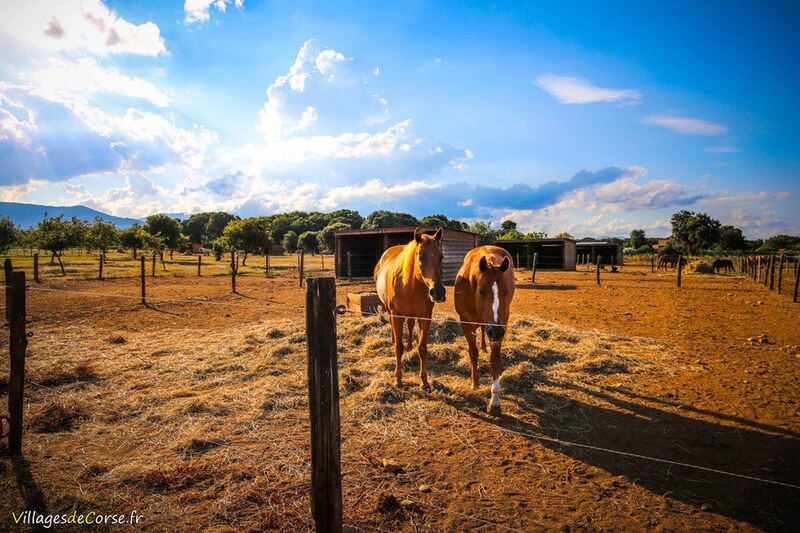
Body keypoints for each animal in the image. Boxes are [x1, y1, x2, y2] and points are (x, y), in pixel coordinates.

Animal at [374, 225, 444, 386]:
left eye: (441, 257)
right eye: (421, 257)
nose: (438, 292)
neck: (409, 285)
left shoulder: (425, 317)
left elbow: (422, 348)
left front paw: (424, 381)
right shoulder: (397, 316)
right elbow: (398, 348)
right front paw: (398, 379)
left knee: (411, 325)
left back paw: (409, 346)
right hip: (390, 311)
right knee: (393, 326)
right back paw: (394, 339)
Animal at [454, 245, 516, 416]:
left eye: (506, 291)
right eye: (481, 291)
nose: (495, 332)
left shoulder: (500, 325)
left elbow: (495, 360)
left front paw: (494, 402)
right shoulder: (465, 322)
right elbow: (473, 352)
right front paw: (475, 381)